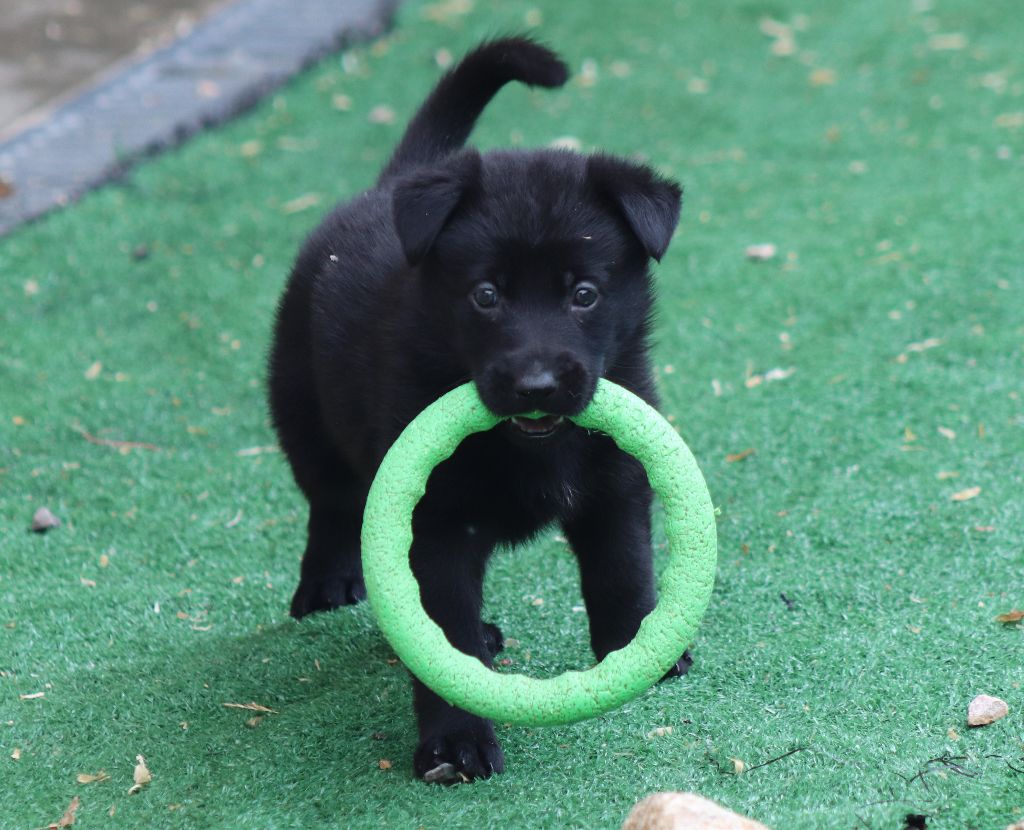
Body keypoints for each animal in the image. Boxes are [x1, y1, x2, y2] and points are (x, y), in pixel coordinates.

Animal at [268, 35, 688, 781]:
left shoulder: (617, 481)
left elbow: (623, 568)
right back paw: (327, 584)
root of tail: (390, 187)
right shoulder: (433, 521)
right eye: (486, 295)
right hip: (304, 414)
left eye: (584, 293)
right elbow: (445, 635)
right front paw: (455, 741)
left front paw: (639, 647)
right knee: (333, 506)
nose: (537, 384)